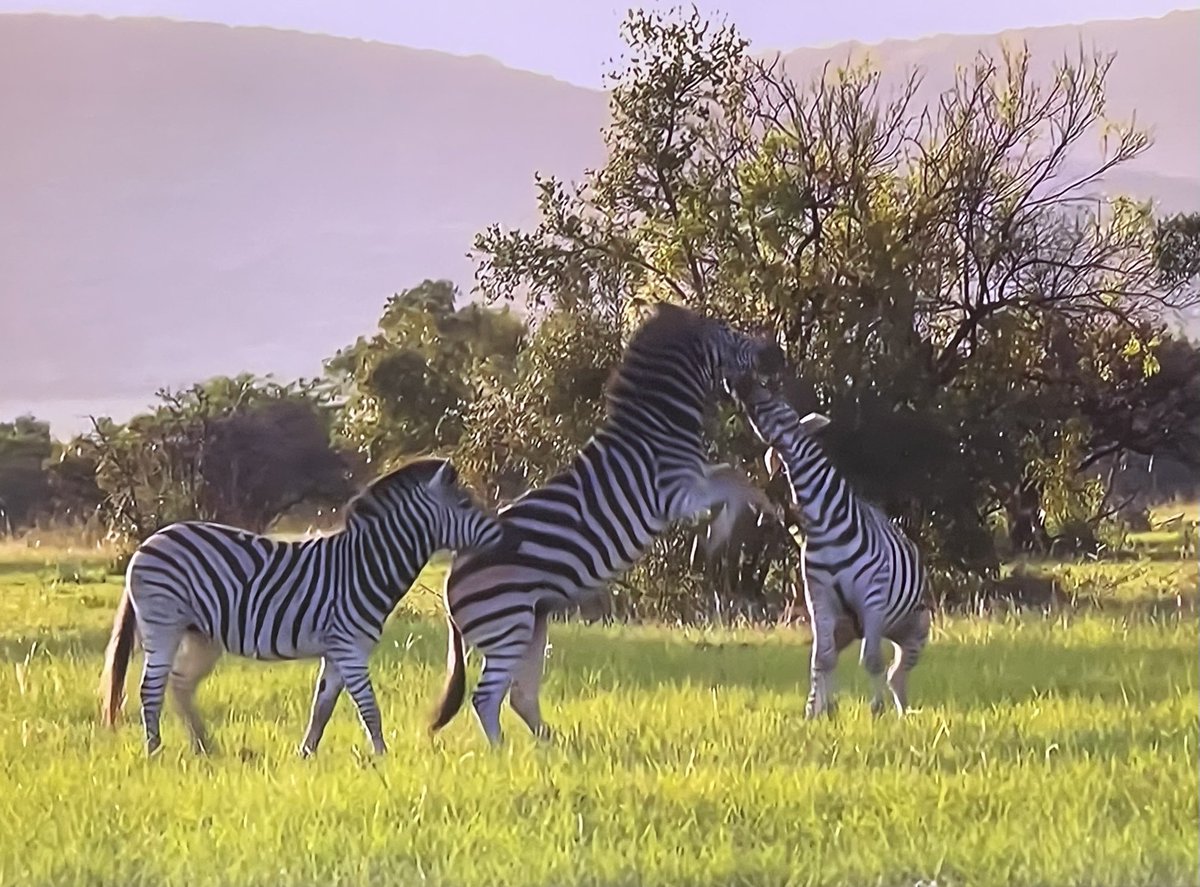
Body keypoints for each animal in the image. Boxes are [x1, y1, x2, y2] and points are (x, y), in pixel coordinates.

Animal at [99, 458, 505, 756]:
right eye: (465, 504)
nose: (505, 535)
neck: (365, 564)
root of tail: (146, 545)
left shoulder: (338, 652)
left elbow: (322, 708)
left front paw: (305, 756)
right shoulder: (350, 647)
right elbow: (369, 707)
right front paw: (382, 758)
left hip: (202, 635)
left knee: (180, 685)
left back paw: (205, 748)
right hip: (163, 624)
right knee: (150, 689)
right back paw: (155, 751)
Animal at [429, 302, 784, 745]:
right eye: (729, 332)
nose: (778, 353)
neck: (654, 429)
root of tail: (451, 577)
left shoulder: (692, 480)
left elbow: (731, 475)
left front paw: (740, 523)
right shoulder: (677, 493)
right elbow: (735, 479)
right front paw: (743, 523)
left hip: (530, 623)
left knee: (519, 697)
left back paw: (553, 747)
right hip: (507, 625)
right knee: (487, 698)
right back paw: (503, 754)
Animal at [730, 376, 931, 718]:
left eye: (779, 402)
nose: (741, 381)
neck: (824, 520)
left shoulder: (871, 598)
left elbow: (872, 660)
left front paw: (876, 709)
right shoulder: (820, 598)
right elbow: (821, 662)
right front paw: (815, 713)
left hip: (913, 627)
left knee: (897, 672)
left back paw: (900, 712)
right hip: (844, 628)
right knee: (837, 661)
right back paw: (828, 705)